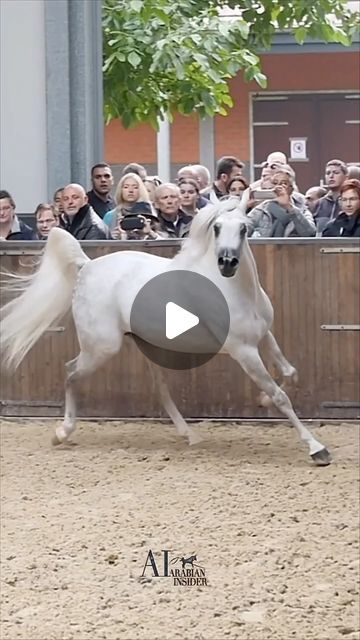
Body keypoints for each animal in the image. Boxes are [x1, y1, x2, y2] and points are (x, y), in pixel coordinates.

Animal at [0, 200, 330, 464]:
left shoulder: (264, 335)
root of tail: (87, 266)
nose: (227, 263)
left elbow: (290, 374)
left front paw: (263, 401)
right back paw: (62, 432)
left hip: (148, 345)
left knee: (159, 389)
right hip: (102, 348)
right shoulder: (243, 351)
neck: (236, 292)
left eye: (244, 229)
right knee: (70, 372)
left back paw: (190, 436)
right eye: (216, 228)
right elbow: (280, 396)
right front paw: (317, 449)